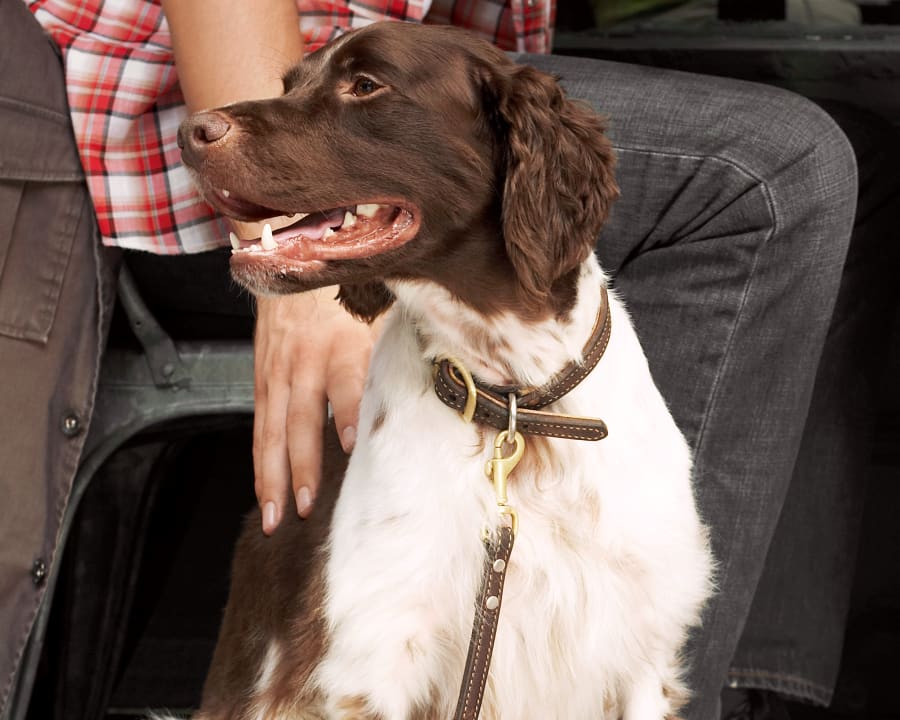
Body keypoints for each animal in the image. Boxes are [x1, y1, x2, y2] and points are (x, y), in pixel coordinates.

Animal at [174, 22, 712, 720]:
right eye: (290, 85)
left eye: (365, 84)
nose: (190, 132)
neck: (516, 403)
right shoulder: (376, 650)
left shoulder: (642, 651)